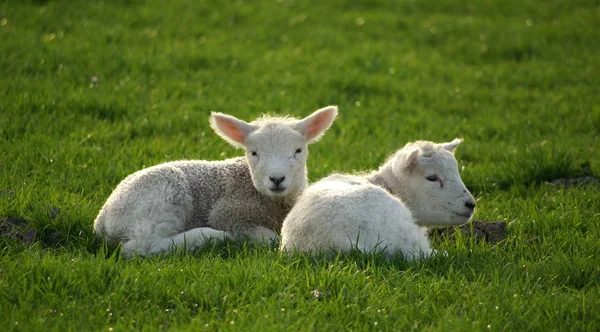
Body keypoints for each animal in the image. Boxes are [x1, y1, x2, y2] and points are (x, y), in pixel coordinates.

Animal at [94, 105, 338, 256]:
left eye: (298, 151)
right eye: (253, 153)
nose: (276, 179)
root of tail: (102, 220)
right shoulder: (228, 213)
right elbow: (269, 239)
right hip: (161, 199)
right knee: (141, 246)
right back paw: (210, 236)